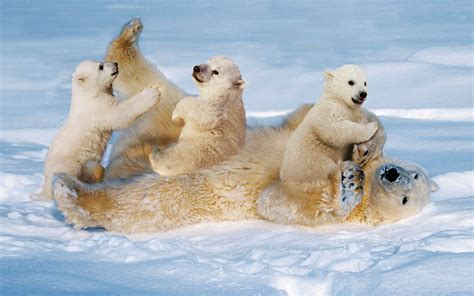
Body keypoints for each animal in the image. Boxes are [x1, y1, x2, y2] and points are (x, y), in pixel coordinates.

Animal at [37, 59, 159, 199]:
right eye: (100, 67)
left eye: (101, 62)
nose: (115, 64)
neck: (88, 96)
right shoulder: (98, 110)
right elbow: (120, 114)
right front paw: (152, 93)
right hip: (69, 162)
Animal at [51, 19, 436, 234]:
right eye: (412, 172)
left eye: (406, 198)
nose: (391, 175)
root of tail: (122, 160)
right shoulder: (304, 124)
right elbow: (313, 115)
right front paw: (366, 147)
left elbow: (279, 202)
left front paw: (347, 188)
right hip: (168, 117)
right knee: (154, 86)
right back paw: (128, 39)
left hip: (180, 190)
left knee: (142, 200)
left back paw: (72, 192)